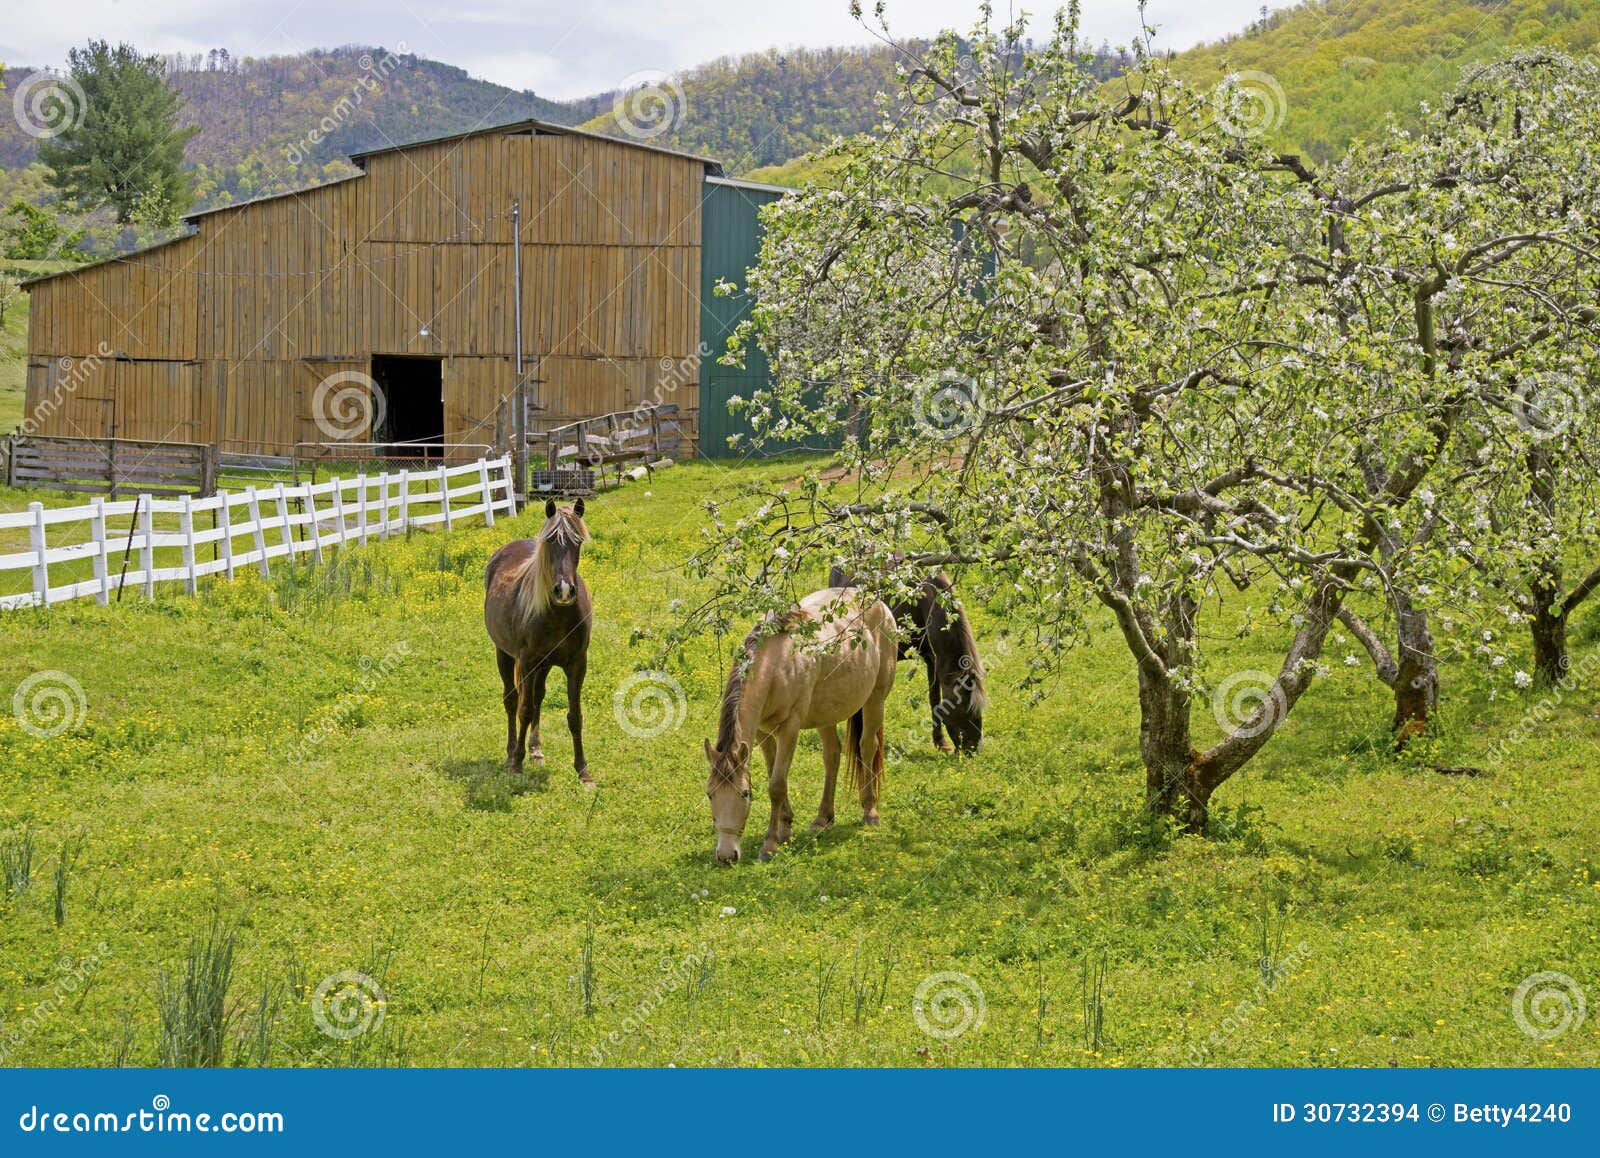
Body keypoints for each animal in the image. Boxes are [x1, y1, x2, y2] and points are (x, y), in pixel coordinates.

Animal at [484, 499, 594, 784]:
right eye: (551, 541)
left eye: (578, 541)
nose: (564, 591)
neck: (559, 613)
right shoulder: (527, 662)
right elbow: (524, 709)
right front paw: (516, 763)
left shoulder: (577, 665)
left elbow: (575, 716)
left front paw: (583, 770)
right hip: (505, 654)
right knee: (512, 700)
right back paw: (512, 751)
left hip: (543, 666)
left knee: (539, 698)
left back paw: (535, 749)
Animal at [704, 587, 898, 864]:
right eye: (710, 794)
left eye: (744, 794)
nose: (726, 855)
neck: (776, 664)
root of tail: (876, 600)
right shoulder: (763, 732)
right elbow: (774, 775)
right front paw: (785, 828)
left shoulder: (789, 729)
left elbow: (777, 785)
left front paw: (770, 845)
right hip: (827, 713)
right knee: (832, 755)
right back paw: (822, 818)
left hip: (875, 700)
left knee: (867, 748)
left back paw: (870, 811)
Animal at [829, 566, 986, 753]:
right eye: (966, 709)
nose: (974, 749)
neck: (922, 601)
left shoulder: (932, 660)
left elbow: (934, 699)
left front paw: (940, 742)